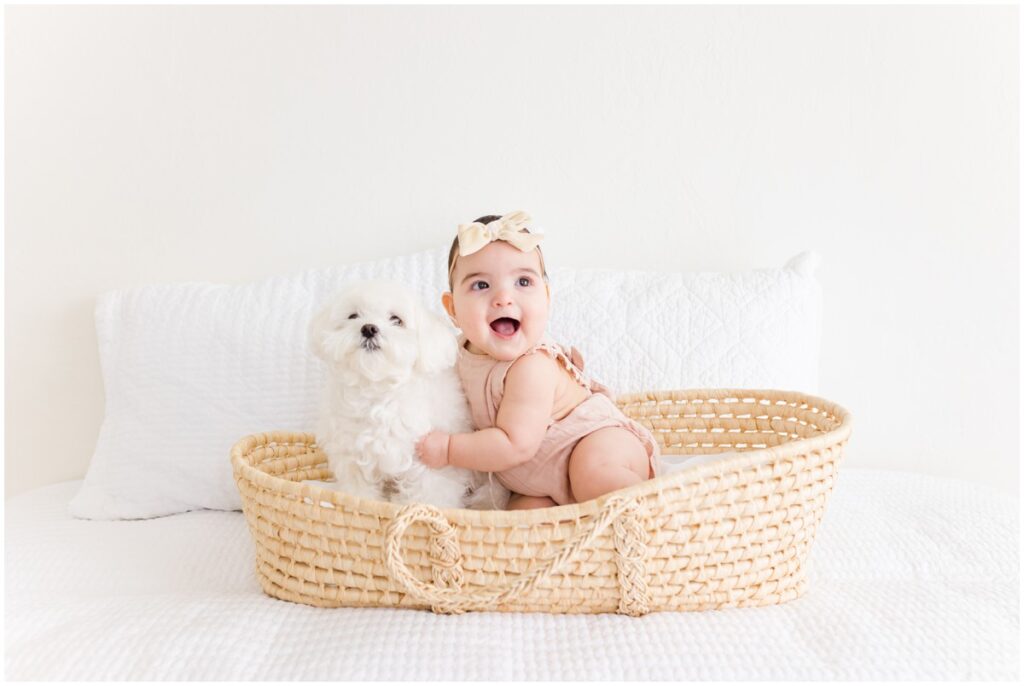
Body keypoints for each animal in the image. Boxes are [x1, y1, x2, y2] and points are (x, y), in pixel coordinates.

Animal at [305, 278, 509, 509]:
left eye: (396, 320)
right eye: (353, 316)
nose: (369, 328)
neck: (378, 392)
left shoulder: (430, 466)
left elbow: (430, 498)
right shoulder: (353, 460)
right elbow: (360, 494)